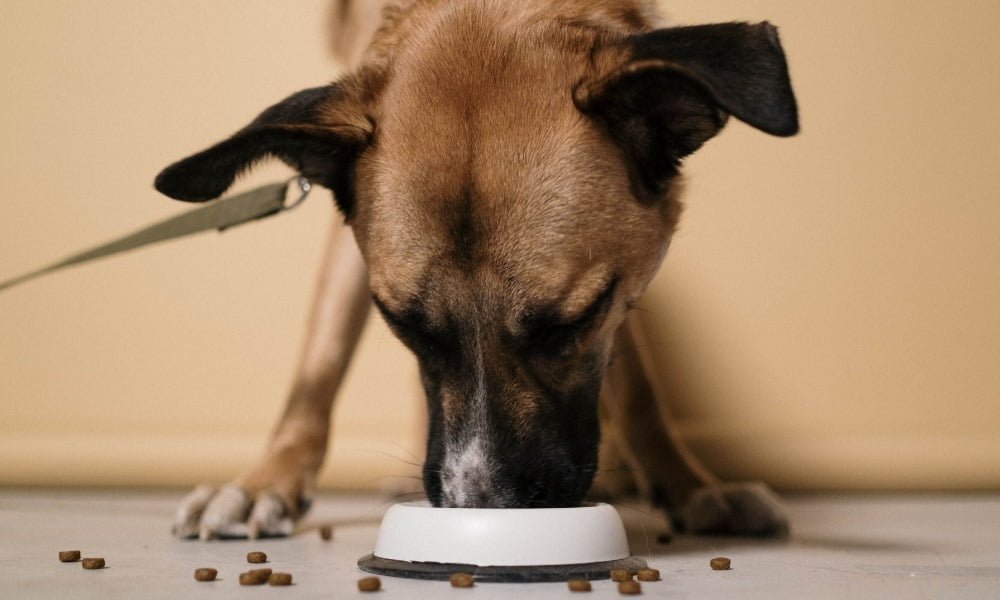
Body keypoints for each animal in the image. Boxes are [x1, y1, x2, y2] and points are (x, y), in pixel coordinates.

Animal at [154, 0, 796, 540]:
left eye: (571, 323)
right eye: (403, 324)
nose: (482, 509)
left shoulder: (621, 281)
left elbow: (637, 386)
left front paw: (689, 485)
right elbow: (319, 365)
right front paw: (266, 481)